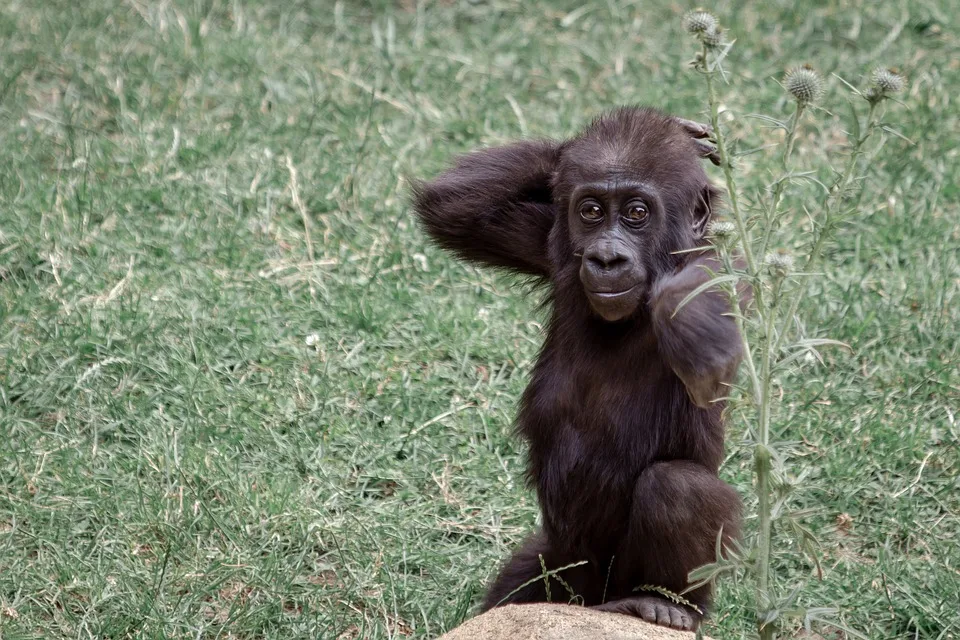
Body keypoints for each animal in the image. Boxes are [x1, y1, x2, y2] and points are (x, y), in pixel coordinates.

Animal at [412, 109, 744, 632]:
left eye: (636, 213)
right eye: (591, 211)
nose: (606, 257)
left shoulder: (723, 273)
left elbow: (707, 351)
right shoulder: (546, 240)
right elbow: (453, 207)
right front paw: (683, 132)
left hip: (639, 582)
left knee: (679, 487)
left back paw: (664, 603)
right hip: (560, 564)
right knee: (529, 581)